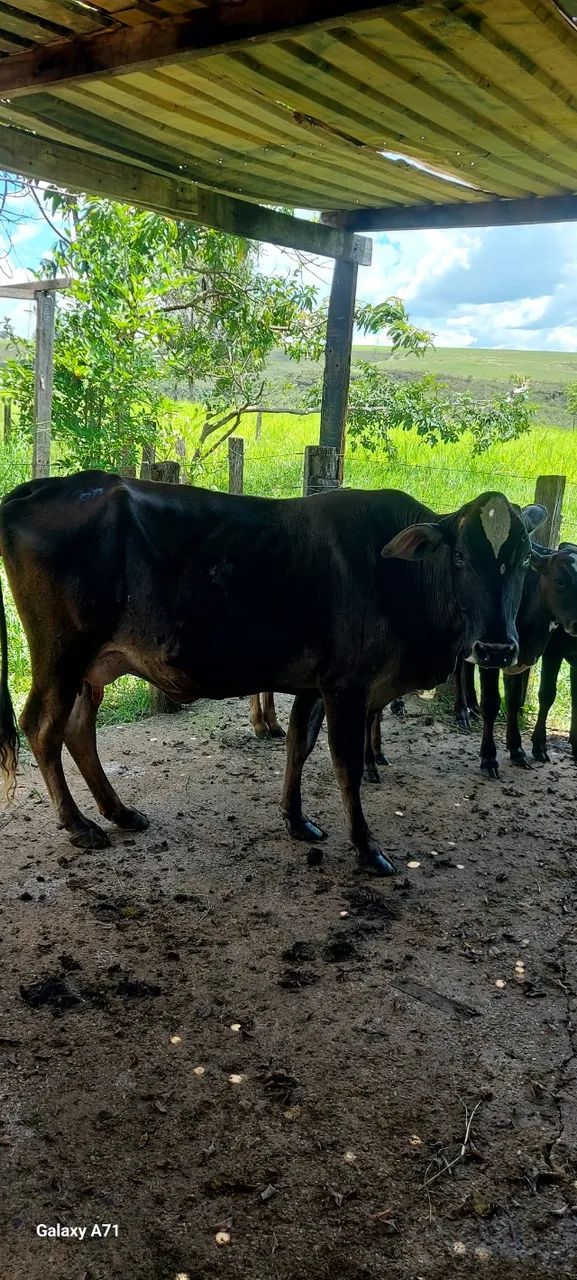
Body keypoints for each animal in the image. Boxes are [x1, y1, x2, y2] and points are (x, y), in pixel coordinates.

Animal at [0, 472, 544, 876]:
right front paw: (366, 848)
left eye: (522, 559)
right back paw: (78, 825)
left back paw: (119, 812)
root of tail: (37, 488)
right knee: (42, 729)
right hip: (61, 653)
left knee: (78, 729)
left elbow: (298, 744)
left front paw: (296, 819)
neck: (393, 572)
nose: (496, 646)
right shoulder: (348, 686)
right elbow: (346, 764)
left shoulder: (315, 682)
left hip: (94, 664)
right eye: (461, 555)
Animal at [454, 541, 577, 777]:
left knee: (466, 666)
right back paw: (461, 711)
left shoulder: (520, 659)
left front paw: (517, 749)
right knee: (457, 668)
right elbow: (492, 702)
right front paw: (489, 758)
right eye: (559, 580)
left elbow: (515, 699)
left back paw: (472, 706)